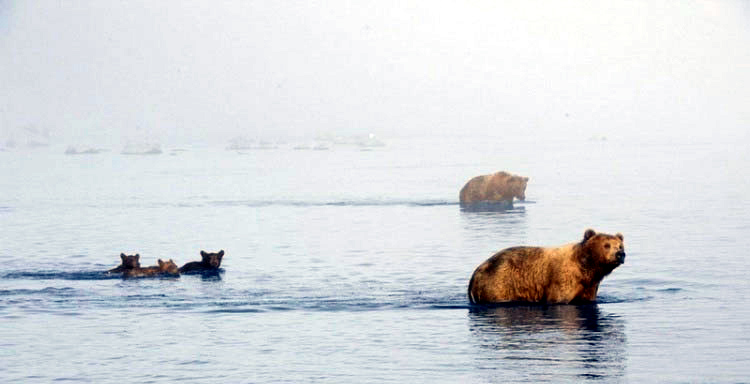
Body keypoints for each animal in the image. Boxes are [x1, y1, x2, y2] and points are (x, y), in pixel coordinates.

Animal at [470, 230, 628, 304]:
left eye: (620, 245)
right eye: (607, 245)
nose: (620, 254)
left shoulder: (590, 286)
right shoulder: (562, 280)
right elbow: (558, 298)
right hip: (499, 283)